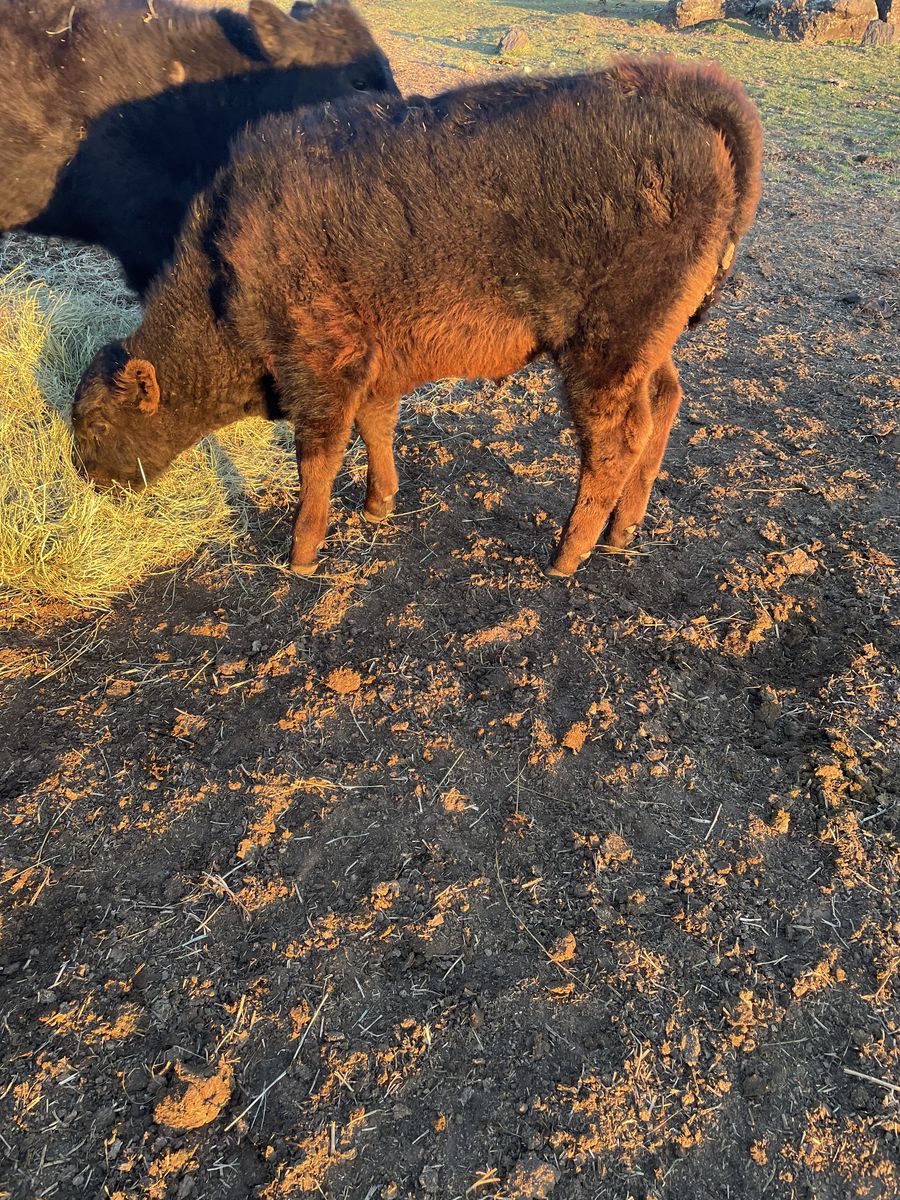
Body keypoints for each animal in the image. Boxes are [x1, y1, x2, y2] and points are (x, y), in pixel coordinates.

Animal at [72, 56, 763, 578]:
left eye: (98, 425)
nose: (92, 484)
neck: (228, 258)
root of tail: (674, 95)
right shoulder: (375, 365)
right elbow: (376, 427)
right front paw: (378, 504)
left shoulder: (321, 369)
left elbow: (317, 459)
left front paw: (301, 554)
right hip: (647, 348)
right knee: (664, 404)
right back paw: (622, 531)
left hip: (602, 355)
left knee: (616, 441)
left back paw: (566, 556)